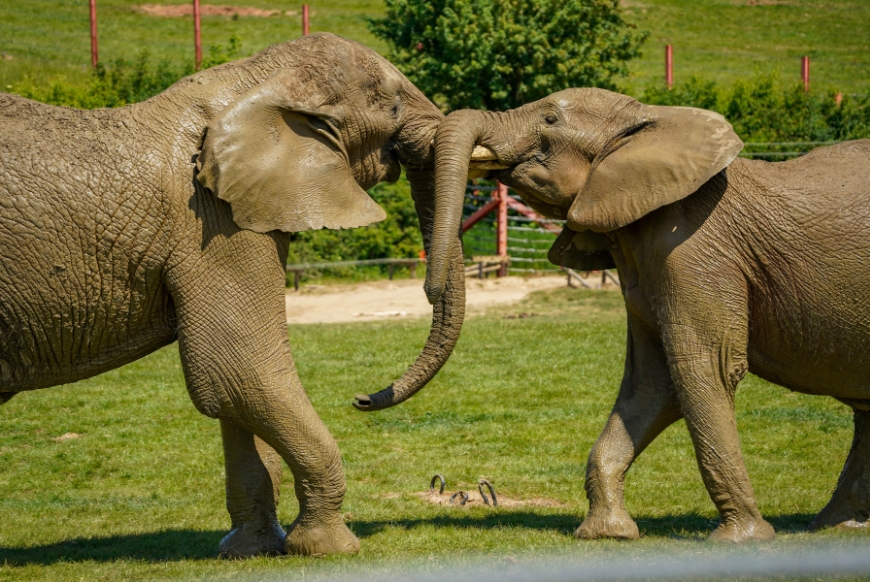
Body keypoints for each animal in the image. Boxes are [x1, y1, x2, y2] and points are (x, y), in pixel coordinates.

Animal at [0, 33, 467, 557]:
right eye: (392, 104)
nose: (362, 399)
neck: (251, 81)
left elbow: (233, 390)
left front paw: (252, 550)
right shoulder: (211, 223)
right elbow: (240, 369)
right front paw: (330, 548)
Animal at [418, 86, 870, 543]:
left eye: (549, 120)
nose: (430, 290)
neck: (649, 119)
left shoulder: (695, 248)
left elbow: (706, 368)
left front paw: (743, 539)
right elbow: (652, 381)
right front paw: (607, 534)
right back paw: (837, 525)